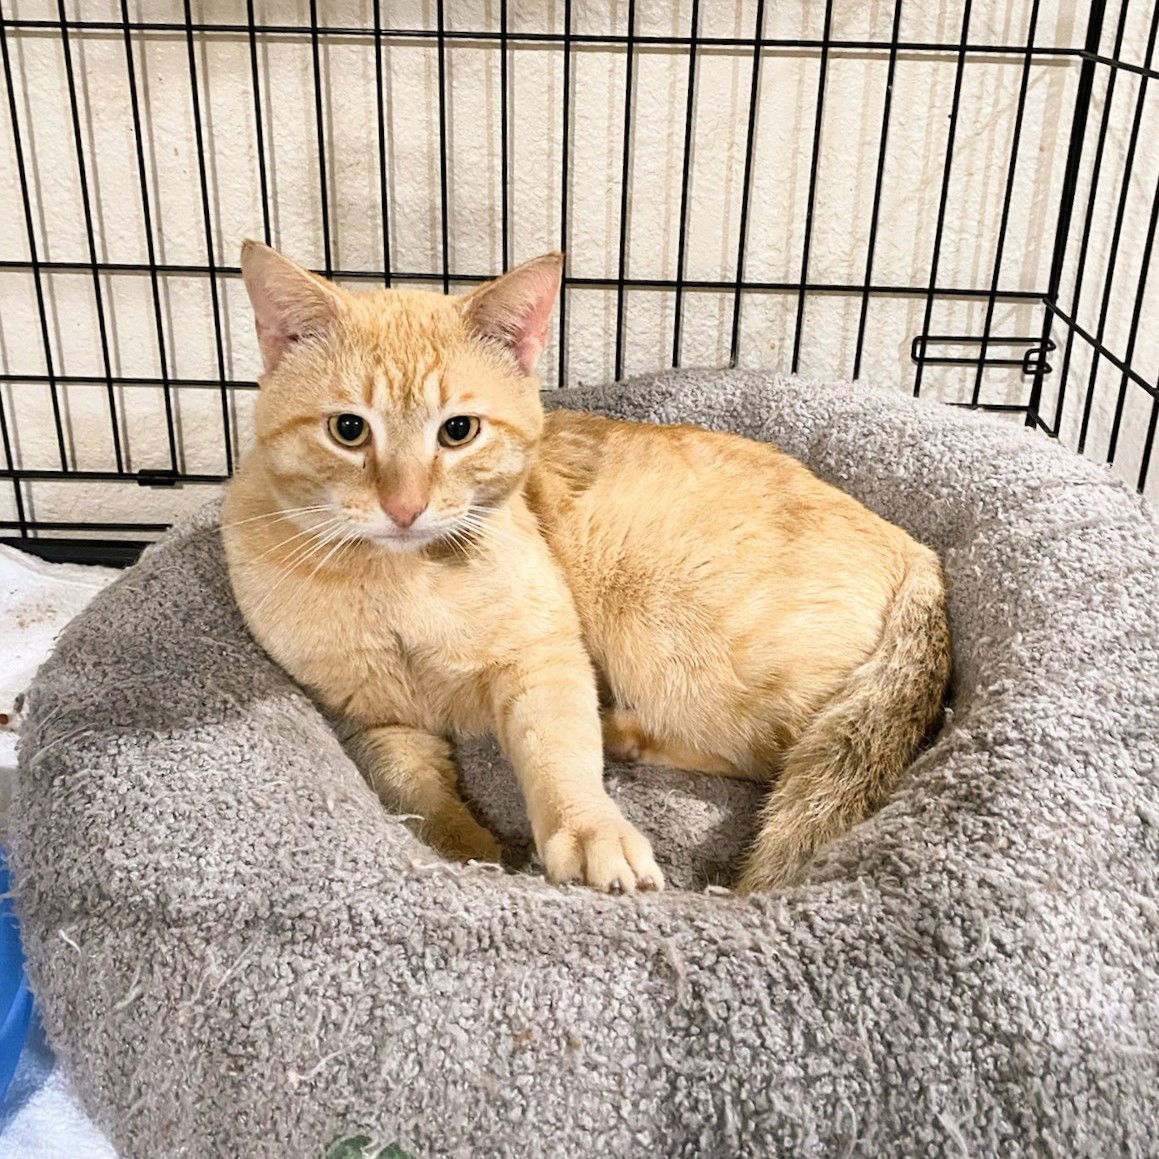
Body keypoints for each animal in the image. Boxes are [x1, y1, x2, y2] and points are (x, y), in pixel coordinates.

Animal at [219, 242, 950, 894]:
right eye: (348, 429)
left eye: (458, 431)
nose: (405, 506)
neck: (400, 582)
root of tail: (915, 551)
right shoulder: (371, 716)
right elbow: (414, 788)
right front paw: (469, 850)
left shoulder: (543, 656)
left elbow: (558, 756)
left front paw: (591, 832)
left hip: (670, 638)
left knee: (779, 750)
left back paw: (620, 732)